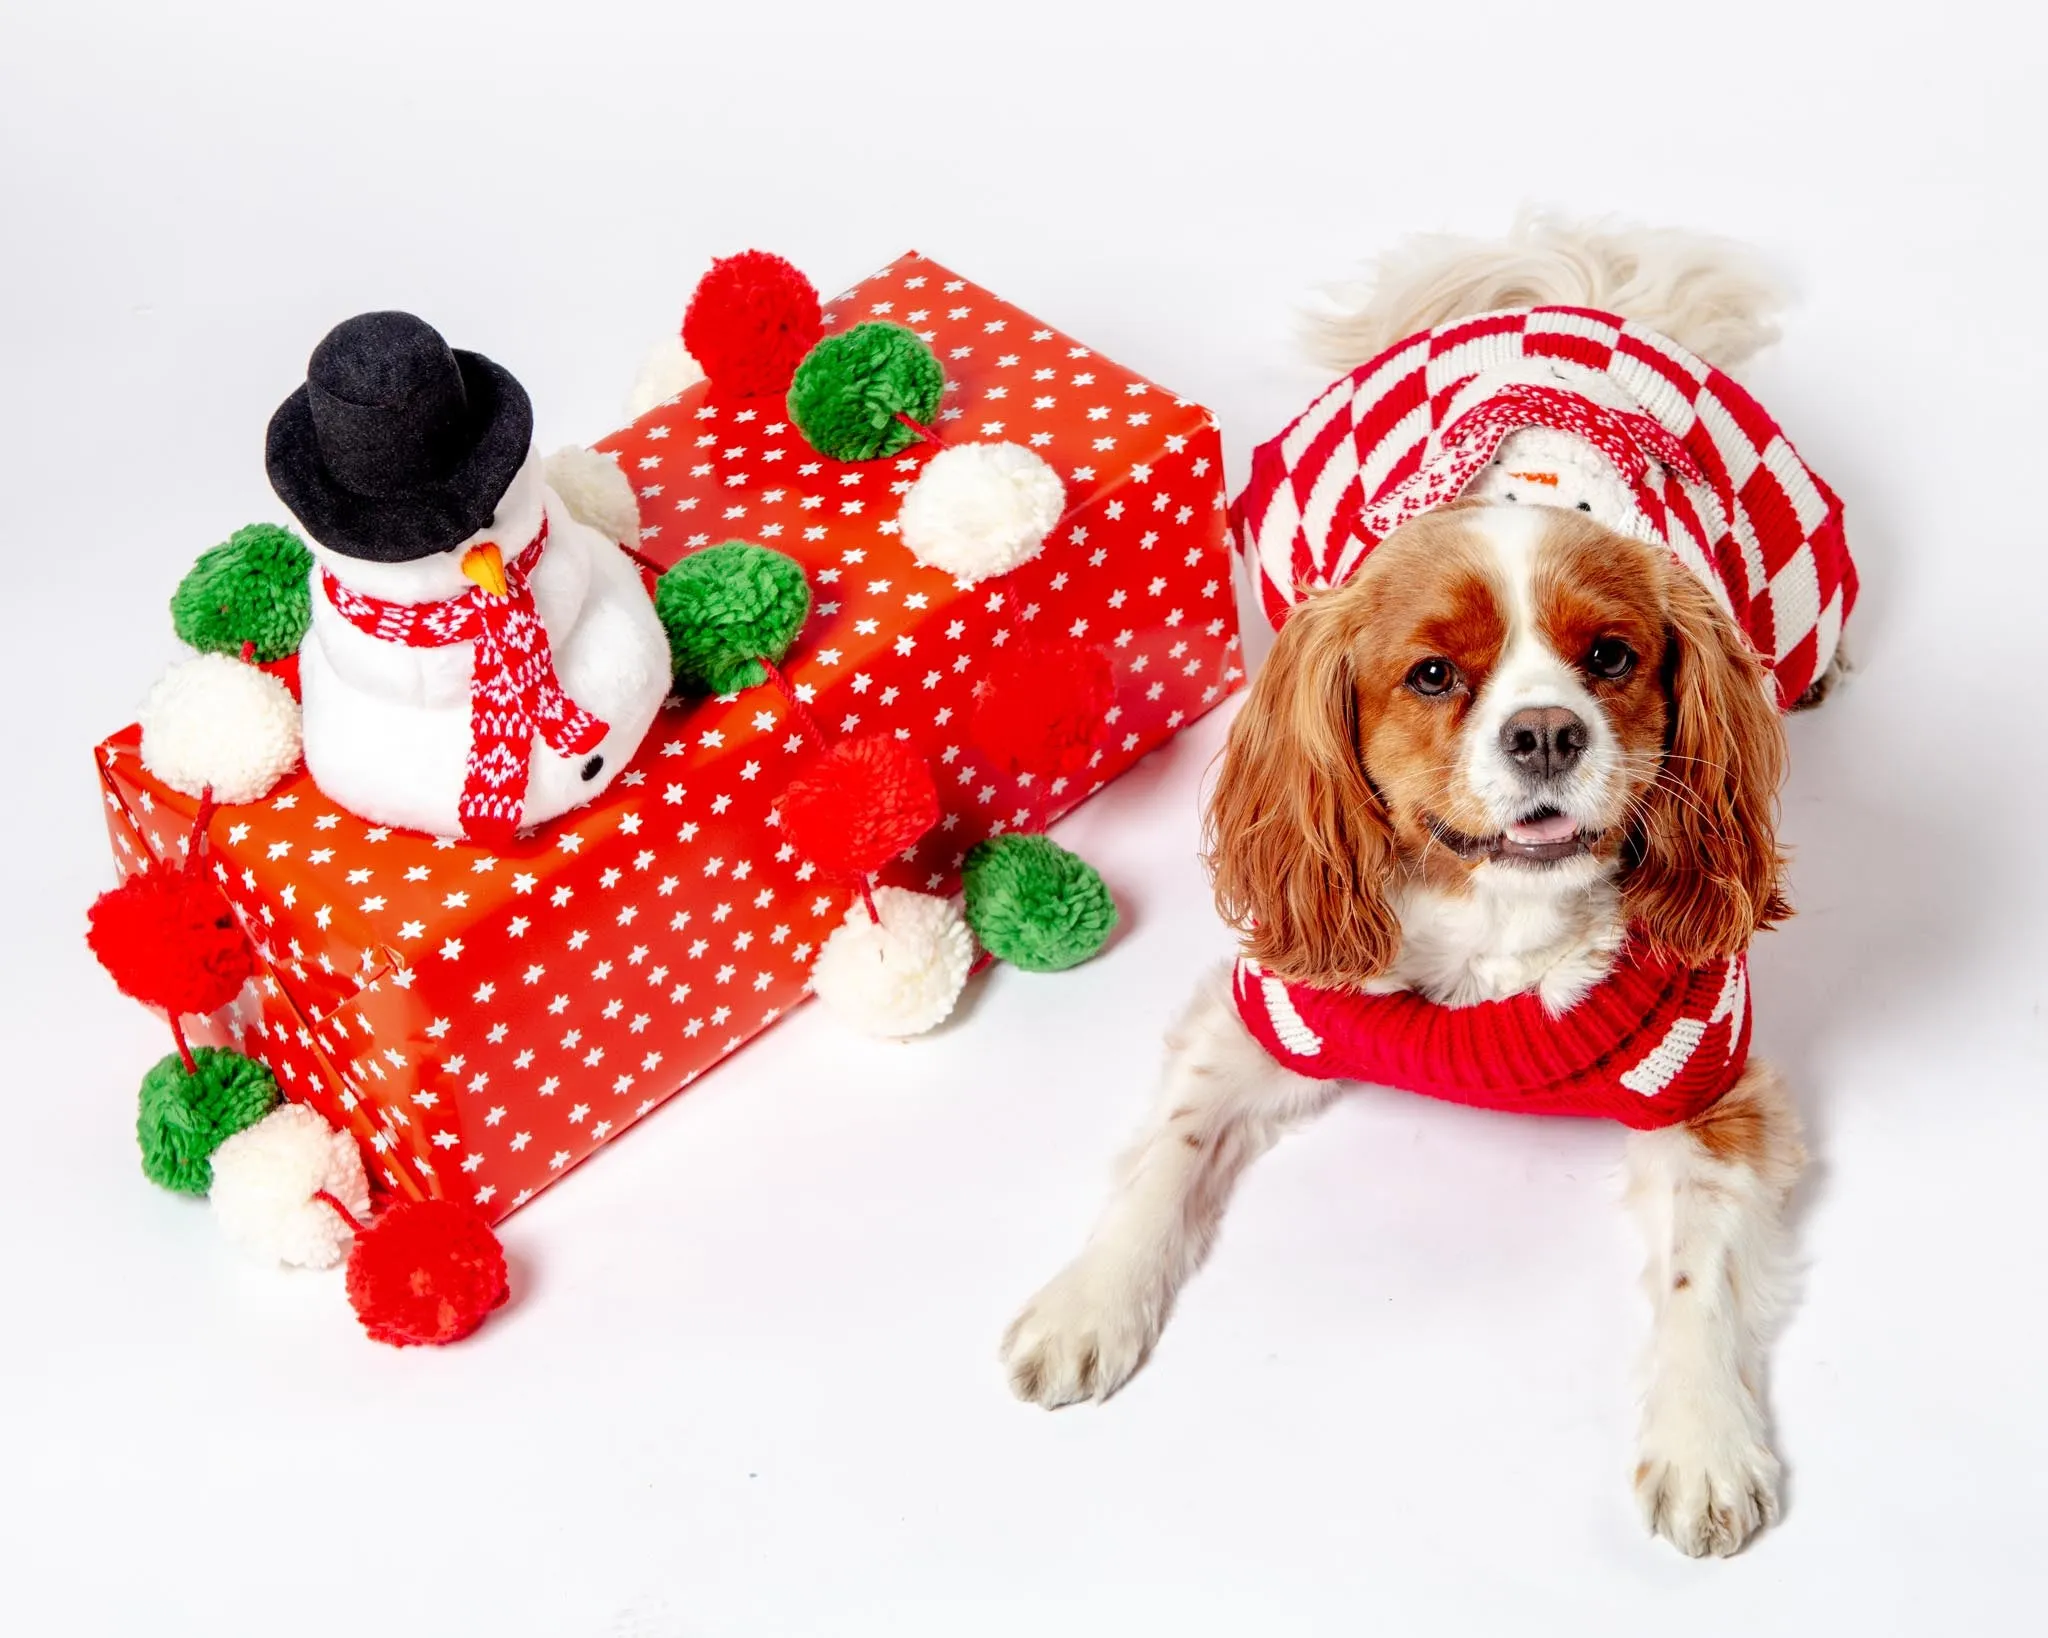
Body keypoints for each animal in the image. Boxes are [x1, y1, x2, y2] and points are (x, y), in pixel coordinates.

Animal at [999, 221, 1835, 1564]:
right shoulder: (1265, 1013)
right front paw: (1088, 1303)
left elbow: (1698, 1278)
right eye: (1433, 675)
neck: (1497, 919)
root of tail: (1564, 301)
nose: (1544, 734)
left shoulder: (1709, 1084)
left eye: (1609, 656)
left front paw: (1703, 1443)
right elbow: (1164, 1157)